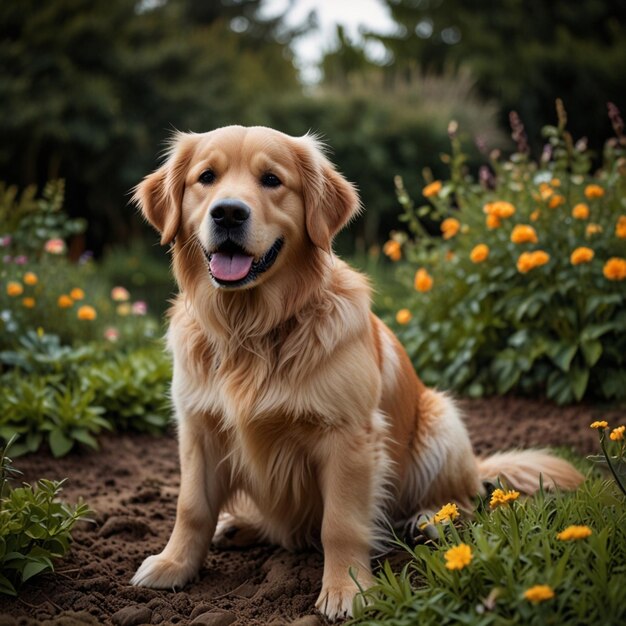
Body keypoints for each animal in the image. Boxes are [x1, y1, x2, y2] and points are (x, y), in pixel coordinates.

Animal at [129, 124, 584, 616]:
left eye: (272, 180)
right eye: (206, 177)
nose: (228, 212)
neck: (251, 331)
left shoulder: (348, 437)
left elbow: (341, 524)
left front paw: (348, 591)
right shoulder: (198, 430)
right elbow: (191, 508)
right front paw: (174, 565)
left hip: (441, 421)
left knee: (464, 499)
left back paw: (429, 519)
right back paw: (237, 525)